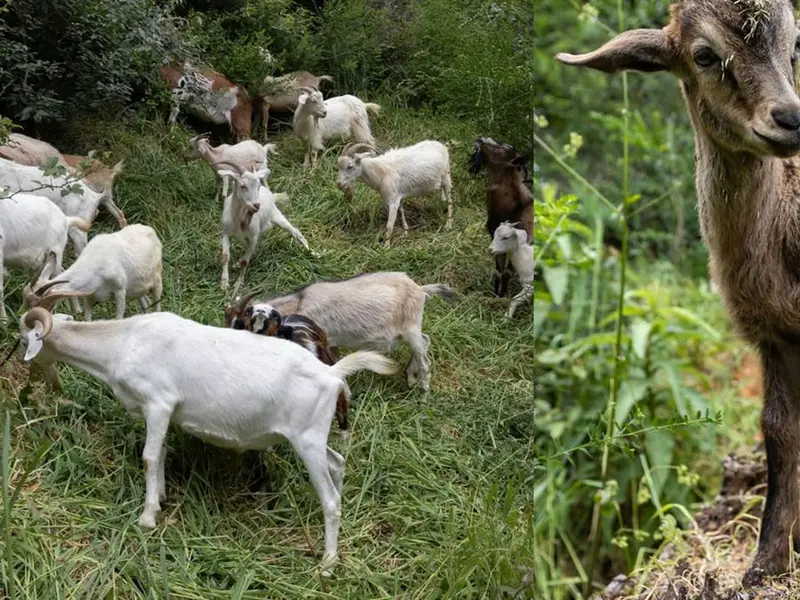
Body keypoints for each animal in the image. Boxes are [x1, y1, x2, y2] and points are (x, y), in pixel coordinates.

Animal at [23, 224, 163, 321]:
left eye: (37, 304)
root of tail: (150, 230)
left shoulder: (119, 291)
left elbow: (118, 318)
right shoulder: (89, 296)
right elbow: (87, 320)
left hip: (157, 281)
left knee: (157, 304)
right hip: (136, 289)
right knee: (145, 303)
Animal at [224, 272, 457, 391]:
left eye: (239, 324)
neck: (300, 303)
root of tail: (420, 289)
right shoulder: (332, 342)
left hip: (410, 328)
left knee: (424, 354)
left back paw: (423, 391)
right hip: (411, 330)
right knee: (425, 342)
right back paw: (410, 377)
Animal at [556, 0, 800, 583]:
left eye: (795, 46)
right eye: (705, 55)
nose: (790, 118)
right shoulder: (774, 334)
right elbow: (778, 432)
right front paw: (766, 566)